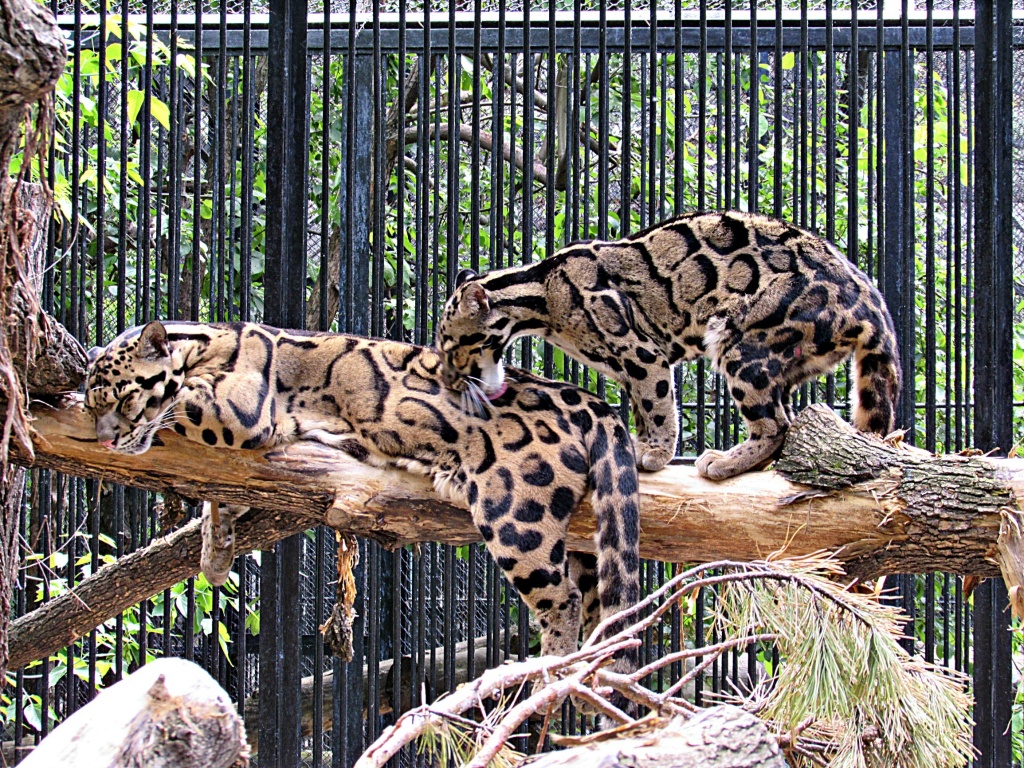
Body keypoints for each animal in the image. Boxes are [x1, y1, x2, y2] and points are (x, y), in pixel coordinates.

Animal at [86, 321, 638, 675]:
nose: (104, 440)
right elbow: (220, 497)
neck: (201, 345)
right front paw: (215, 552)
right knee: (597, 599)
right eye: (94, 408)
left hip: (517, 515)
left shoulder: (241, 408)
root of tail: (587, 397)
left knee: (562, 599)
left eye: (124, 398)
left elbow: (181, 404)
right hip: (584, 541)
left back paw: (554, 667)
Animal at [436, 210, 901, 475]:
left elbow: (658, 405)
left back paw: (725, 461)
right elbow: (642, 411)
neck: (542, 293)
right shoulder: (628, 368)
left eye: (454, 349)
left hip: (741, 341)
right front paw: (643, 445)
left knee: (776, 426)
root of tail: (869, 299)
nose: (450, 380)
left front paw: (657, 453)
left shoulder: (642, 353)